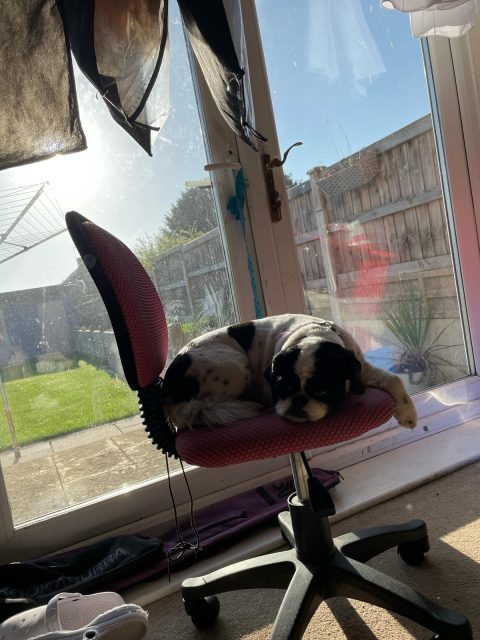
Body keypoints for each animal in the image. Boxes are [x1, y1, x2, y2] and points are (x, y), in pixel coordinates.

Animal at [161, 314, 416, 430]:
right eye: (282, 387)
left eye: (322, 391)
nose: (299, 400)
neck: (314, 335)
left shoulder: (362, 369)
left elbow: (394, 379)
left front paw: (407, 412)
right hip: (236, 364)